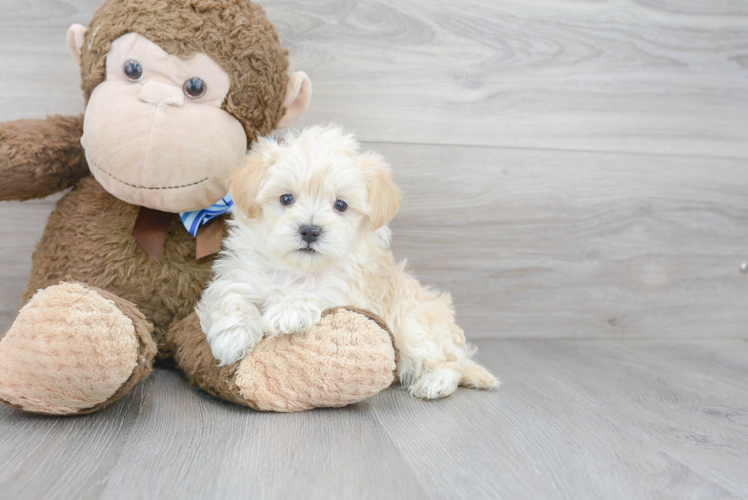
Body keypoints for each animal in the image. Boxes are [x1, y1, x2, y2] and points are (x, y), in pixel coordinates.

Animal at [196, 127, 500, 400]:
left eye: (340, 205)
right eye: (286, 198)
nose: (310, 230)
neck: (296, 271)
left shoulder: (351, 291)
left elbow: (320, 294)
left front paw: (289, 311)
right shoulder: (238, 275)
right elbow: (230, 297)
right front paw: (233, 336)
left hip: (415, 330)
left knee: (450, 363)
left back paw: (435, 382)